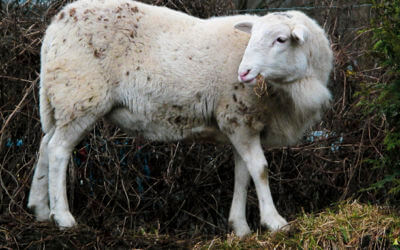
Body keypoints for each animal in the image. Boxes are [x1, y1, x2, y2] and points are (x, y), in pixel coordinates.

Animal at [28, 0, 332, 237]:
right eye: (253, 36)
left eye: (281, 39)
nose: (243, 72)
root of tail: (56, 24)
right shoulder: (238, 118)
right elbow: (260, 169)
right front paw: (274, 222)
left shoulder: (240, 123)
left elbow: (243, 174)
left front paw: (240, 227)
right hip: (81, 96)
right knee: (58, 150)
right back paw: (63, 217)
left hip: (62, 99)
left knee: (45, 144)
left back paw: (40, 209)